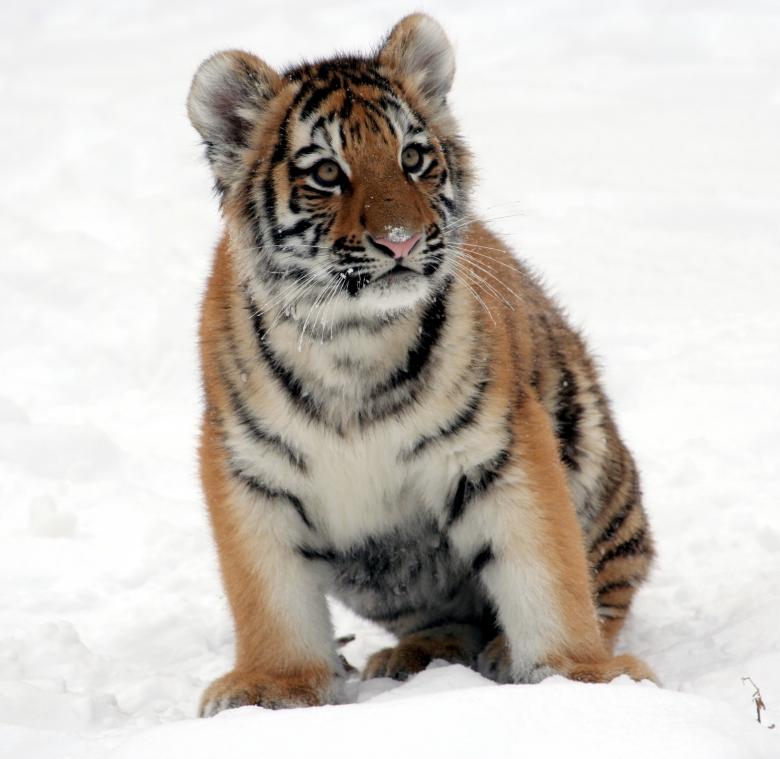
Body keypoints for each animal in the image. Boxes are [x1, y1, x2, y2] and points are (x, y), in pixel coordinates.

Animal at [186, 13, 656, 716]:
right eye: (326, 173)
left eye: (412, 158)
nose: (401, 241)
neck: (353, 337)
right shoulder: (249, 468)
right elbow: (268, 594)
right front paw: (273, 687)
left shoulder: (501, 451)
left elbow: (547, 572)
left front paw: (582, 679)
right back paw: (419, 655)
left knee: (604, 586)